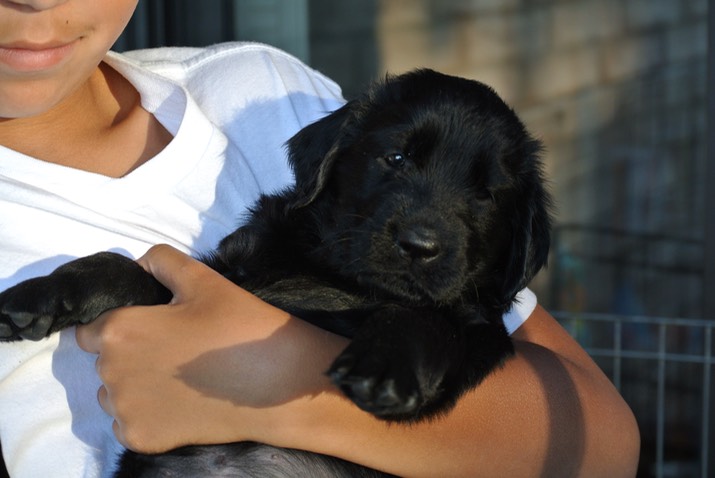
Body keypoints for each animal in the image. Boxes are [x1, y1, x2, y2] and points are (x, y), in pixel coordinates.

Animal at [0, 69, 552, 476]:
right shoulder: (222, 278)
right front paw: (38, 296)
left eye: (487, 194)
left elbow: (425, 318)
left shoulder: (478, 334)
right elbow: (120, 267)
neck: (338, 279)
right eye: (395, 157)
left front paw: (384, 365)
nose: (420, 245)